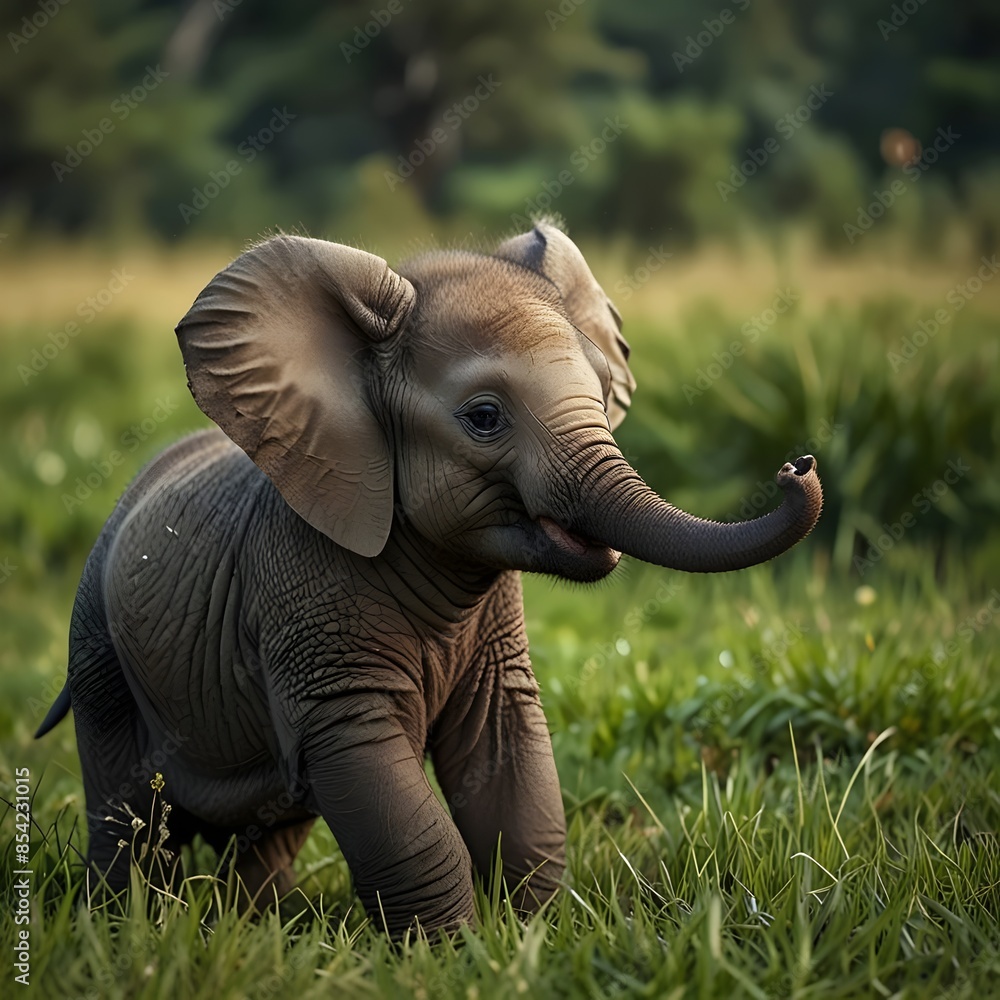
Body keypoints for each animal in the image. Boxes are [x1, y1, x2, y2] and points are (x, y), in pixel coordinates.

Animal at [36, 220, 822, 938]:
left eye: (604, 395)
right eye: (484, 418)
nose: (800, 465)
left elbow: (510, 766)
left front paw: (529, 941)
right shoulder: (306, 594)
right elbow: (382, 786)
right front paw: (446, 958)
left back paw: (252, 926)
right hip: (98, 646)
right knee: (129, 812)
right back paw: (125, 930)